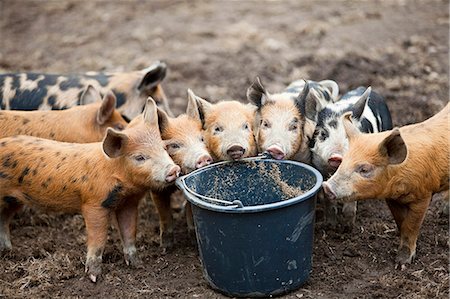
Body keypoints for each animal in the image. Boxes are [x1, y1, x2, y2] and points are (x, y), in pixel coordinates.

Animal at [308, 86, 392, 232]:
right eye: (323, 133)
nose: (337, 156)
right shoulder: (319, 166)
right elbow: (328, 199)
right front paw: (331, 226)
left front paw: (348, 228)